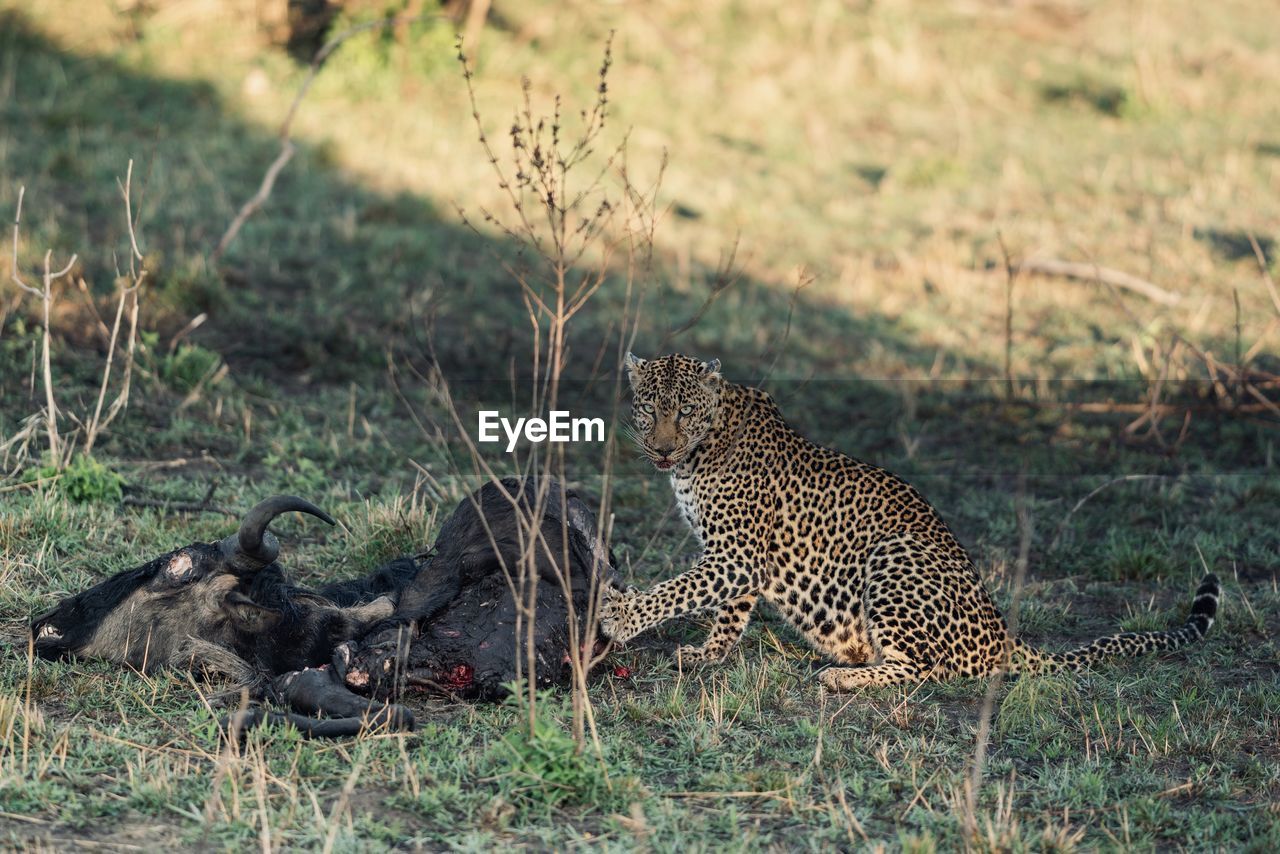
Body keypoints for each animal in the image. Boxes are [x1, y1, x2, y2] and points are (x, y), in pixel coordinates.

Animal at [599, 353, 1218, 696]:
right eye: (649, 408)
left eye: (684, 411)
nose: (662, 448)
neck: (700, 450)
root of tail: (1002, 633)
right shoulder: (738, 559)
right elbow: (727, 611)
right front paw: (709, 654)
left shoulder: (737, 554)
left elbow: (678, 590)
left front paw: (621, 616)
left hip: (895, 555)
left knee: (929, 668)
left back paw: (844, 677)